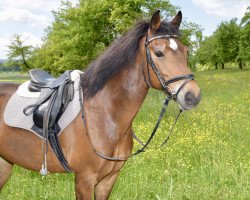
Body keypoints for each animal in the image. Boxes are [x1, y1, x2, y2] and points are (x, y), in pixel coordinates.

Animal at [0, 11, 200, 200]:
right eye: (159, 53)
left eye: (186, 52)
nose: (192, 96)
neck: (103, 114)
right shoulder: (85, 179)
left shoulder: (108, 179)